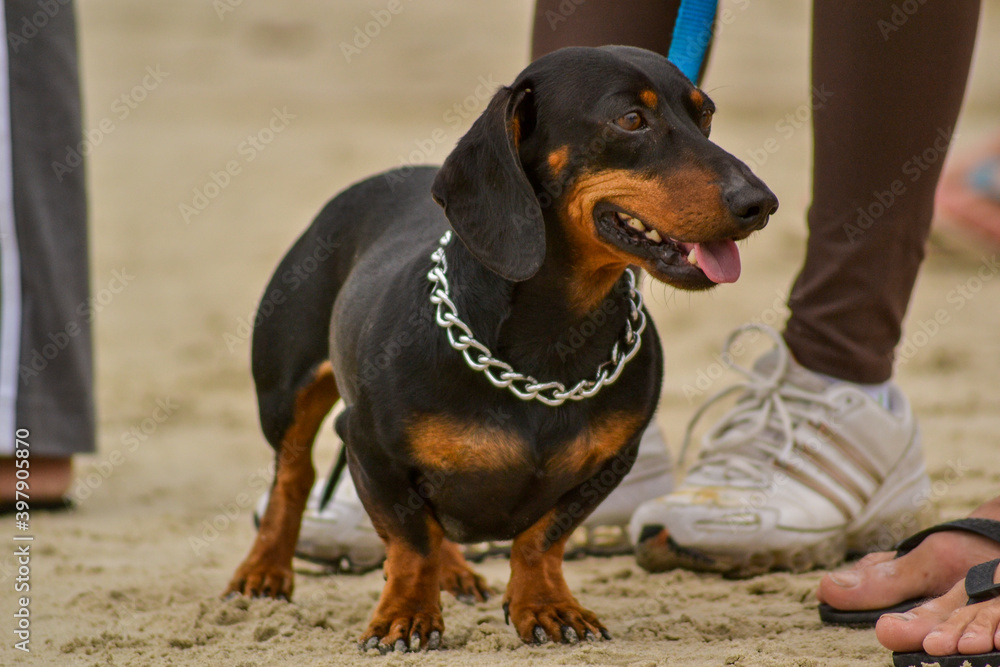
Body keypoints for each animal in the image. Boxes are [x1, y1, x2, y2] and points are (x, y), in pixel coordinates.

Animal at [225, 48, 772, 652]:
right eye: (631, 119)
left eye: (706, 114)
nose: (761, 203)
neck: (549, 347)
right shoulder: (370, 450)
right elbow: (410, 544)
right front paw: (405, 615)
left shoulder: (608, 465)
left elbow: (541, 540)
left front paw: (547, 605)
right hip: (286, 393)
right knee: (292, 478)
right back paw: (264, 572)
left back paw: (457, 572)